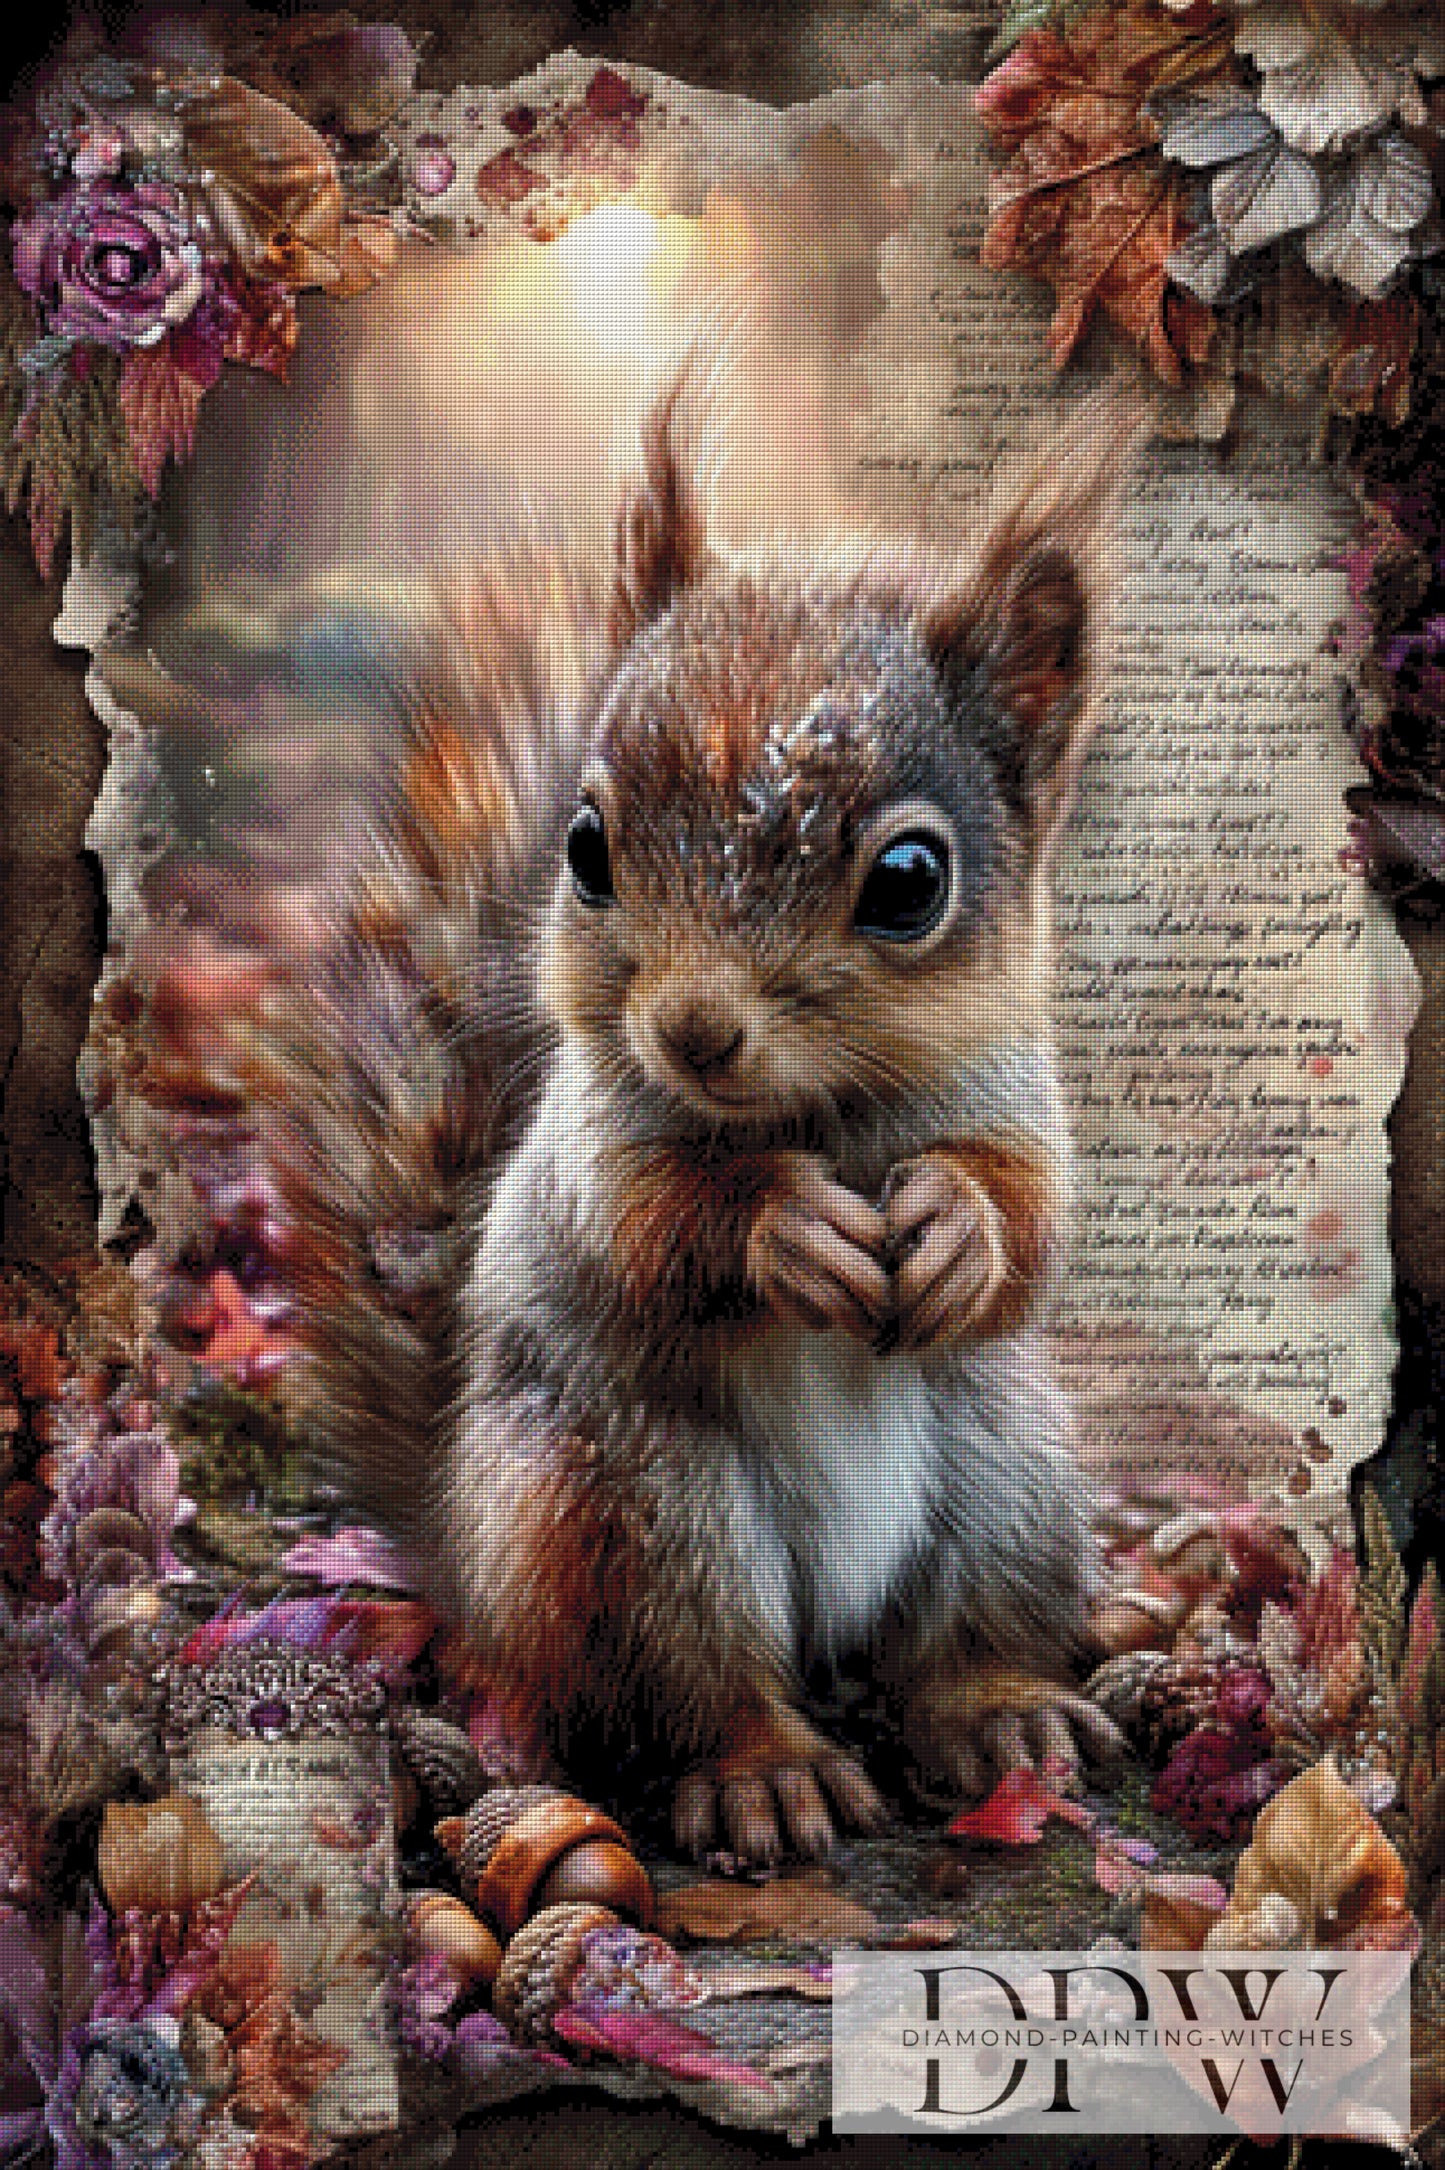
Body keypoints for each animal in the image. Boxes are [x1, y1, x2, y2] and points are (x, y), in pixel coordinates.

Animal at [119, 358, 1134, 1864]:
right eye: (585, 847)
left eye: (909, 880)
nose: (693, 1030)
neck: (817, 1115)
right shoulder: (586, 1139)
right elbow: (644, 1219)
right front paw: (783, 1228)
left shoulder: (1015, 1094)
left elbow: (1032, 1216)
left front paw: (954, 1224)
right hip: (620, 1512)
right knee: (692, 1688)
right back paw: (769, 1769)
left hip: (1010, 1473)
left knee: (950, 1643)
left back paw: (999, 1709)